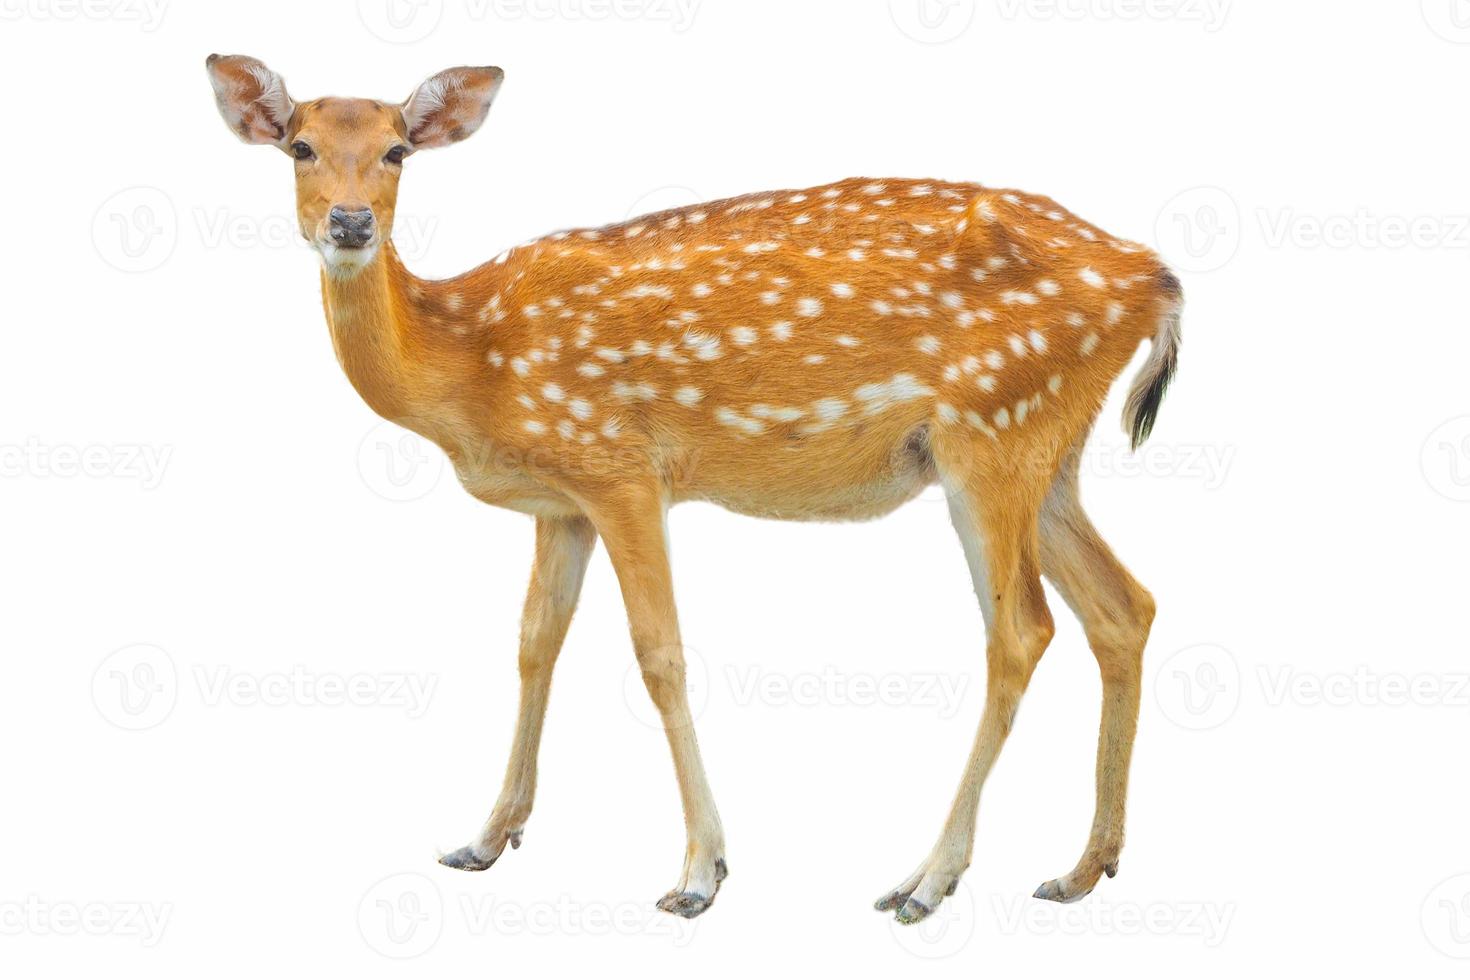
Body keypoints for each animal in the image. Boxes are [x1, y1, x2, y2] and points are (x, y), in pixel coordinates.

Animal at [204, 57, 1181, 922]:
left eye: (399, 149)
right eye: (299, 146)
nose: (350, 223)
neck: (471, 360)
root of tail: (1156, 281)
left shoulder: (622, 466)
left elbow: (660, 655)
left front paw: (701, 874)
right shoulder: (562, 502)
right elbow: (534, 641)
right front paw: (484, 838)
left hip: (992, 430)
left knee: (1022, 632)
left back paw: (925, 881)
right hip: (1046, 448)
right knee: (1123, 606)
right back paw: (1084, 867)